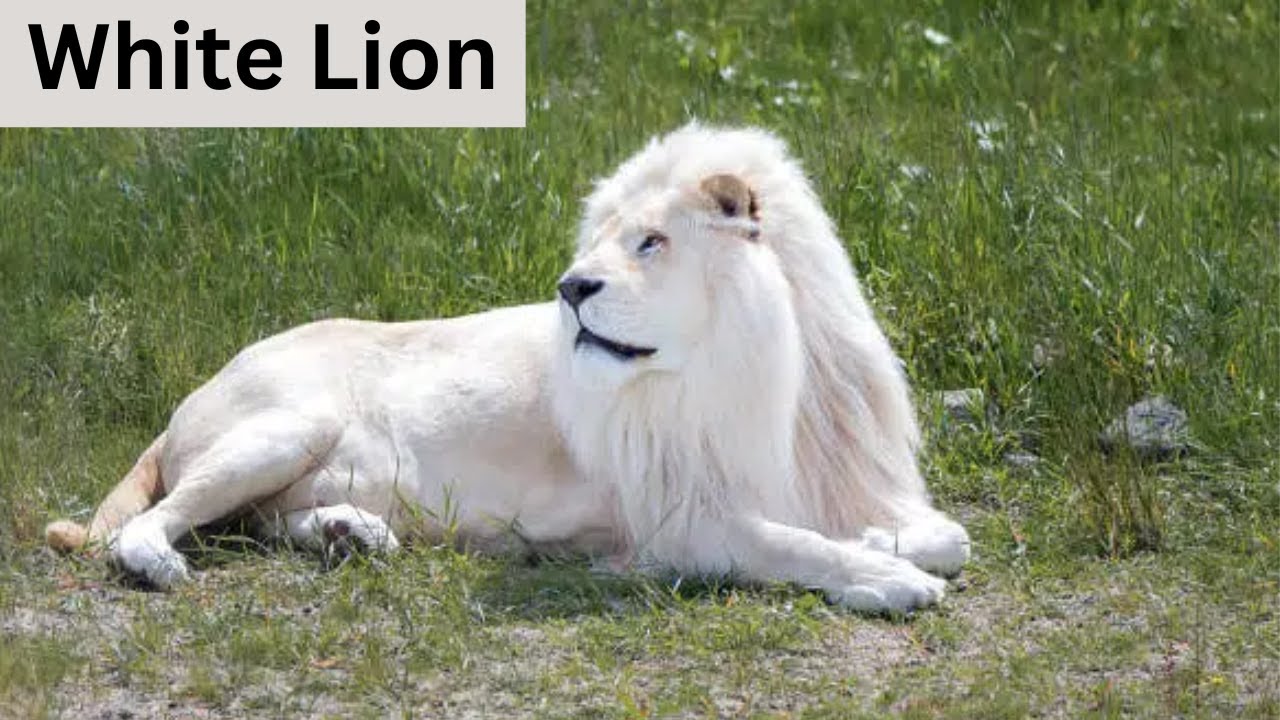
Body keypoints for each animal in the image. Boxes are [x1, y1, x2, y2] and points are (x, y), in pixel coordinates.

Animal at [46, 124, 970, 612]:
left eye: (651, 242)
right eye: (600, 242)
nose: (571, 286)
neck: (761, 370)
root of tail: (184, 402)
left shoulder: (831, 480)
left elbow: (948, 536)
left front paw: (887, 543)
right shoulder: (680, 521)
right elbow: (795, 545)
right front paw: (886, 577)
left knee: (261, 523)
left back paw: (351, 535)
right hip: (289, 424)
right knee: (149, 525)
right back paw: (165, 563)